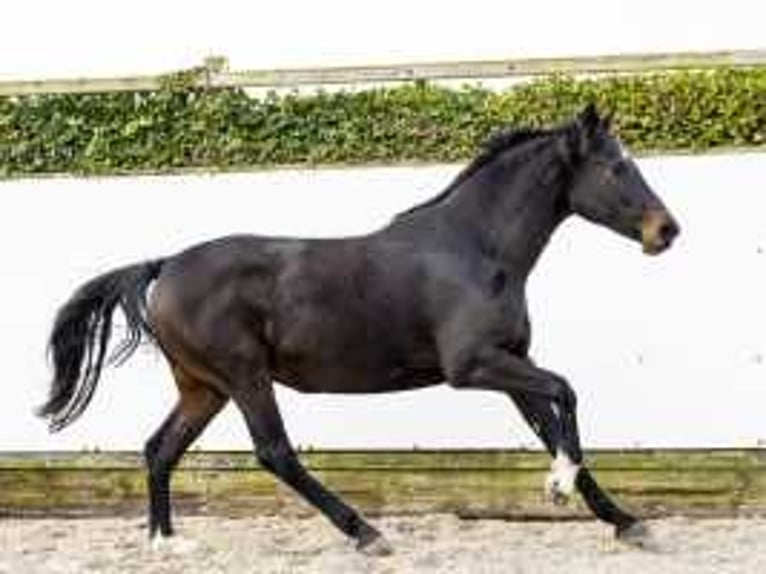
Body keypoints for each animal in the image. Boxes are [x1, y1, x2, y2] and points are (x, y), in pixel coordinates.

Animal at [39, 104, 680, 560]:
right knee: (274, 452)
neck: (474, 249)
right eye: (617, 167)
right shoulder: (473, 365)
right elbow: (566, 391)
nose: (666, 230)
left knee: (160, 448)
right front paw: (560, 488)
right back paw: (366, 532)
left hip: (204, 387)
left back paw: (168, 542)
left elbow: (552, 426)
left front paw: (626, 523)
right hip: (244, 377)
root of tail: (166, 265)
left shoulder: (510, 361)